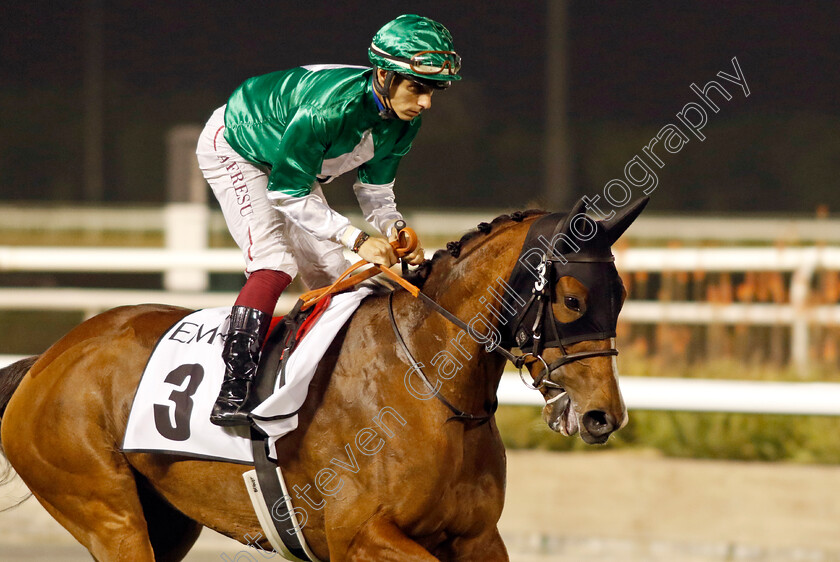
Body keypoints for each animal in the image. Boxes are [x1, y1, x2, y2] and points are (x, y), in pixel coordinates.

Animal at [0, 195, 648, 556]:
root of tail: (47, 360)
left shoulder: (478, 538)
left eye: (620, 297)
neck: (426, 384)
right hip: (104, 510)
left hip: (167, 520)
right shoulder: (360, 536)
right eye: (570, 299)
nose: (603, 415)